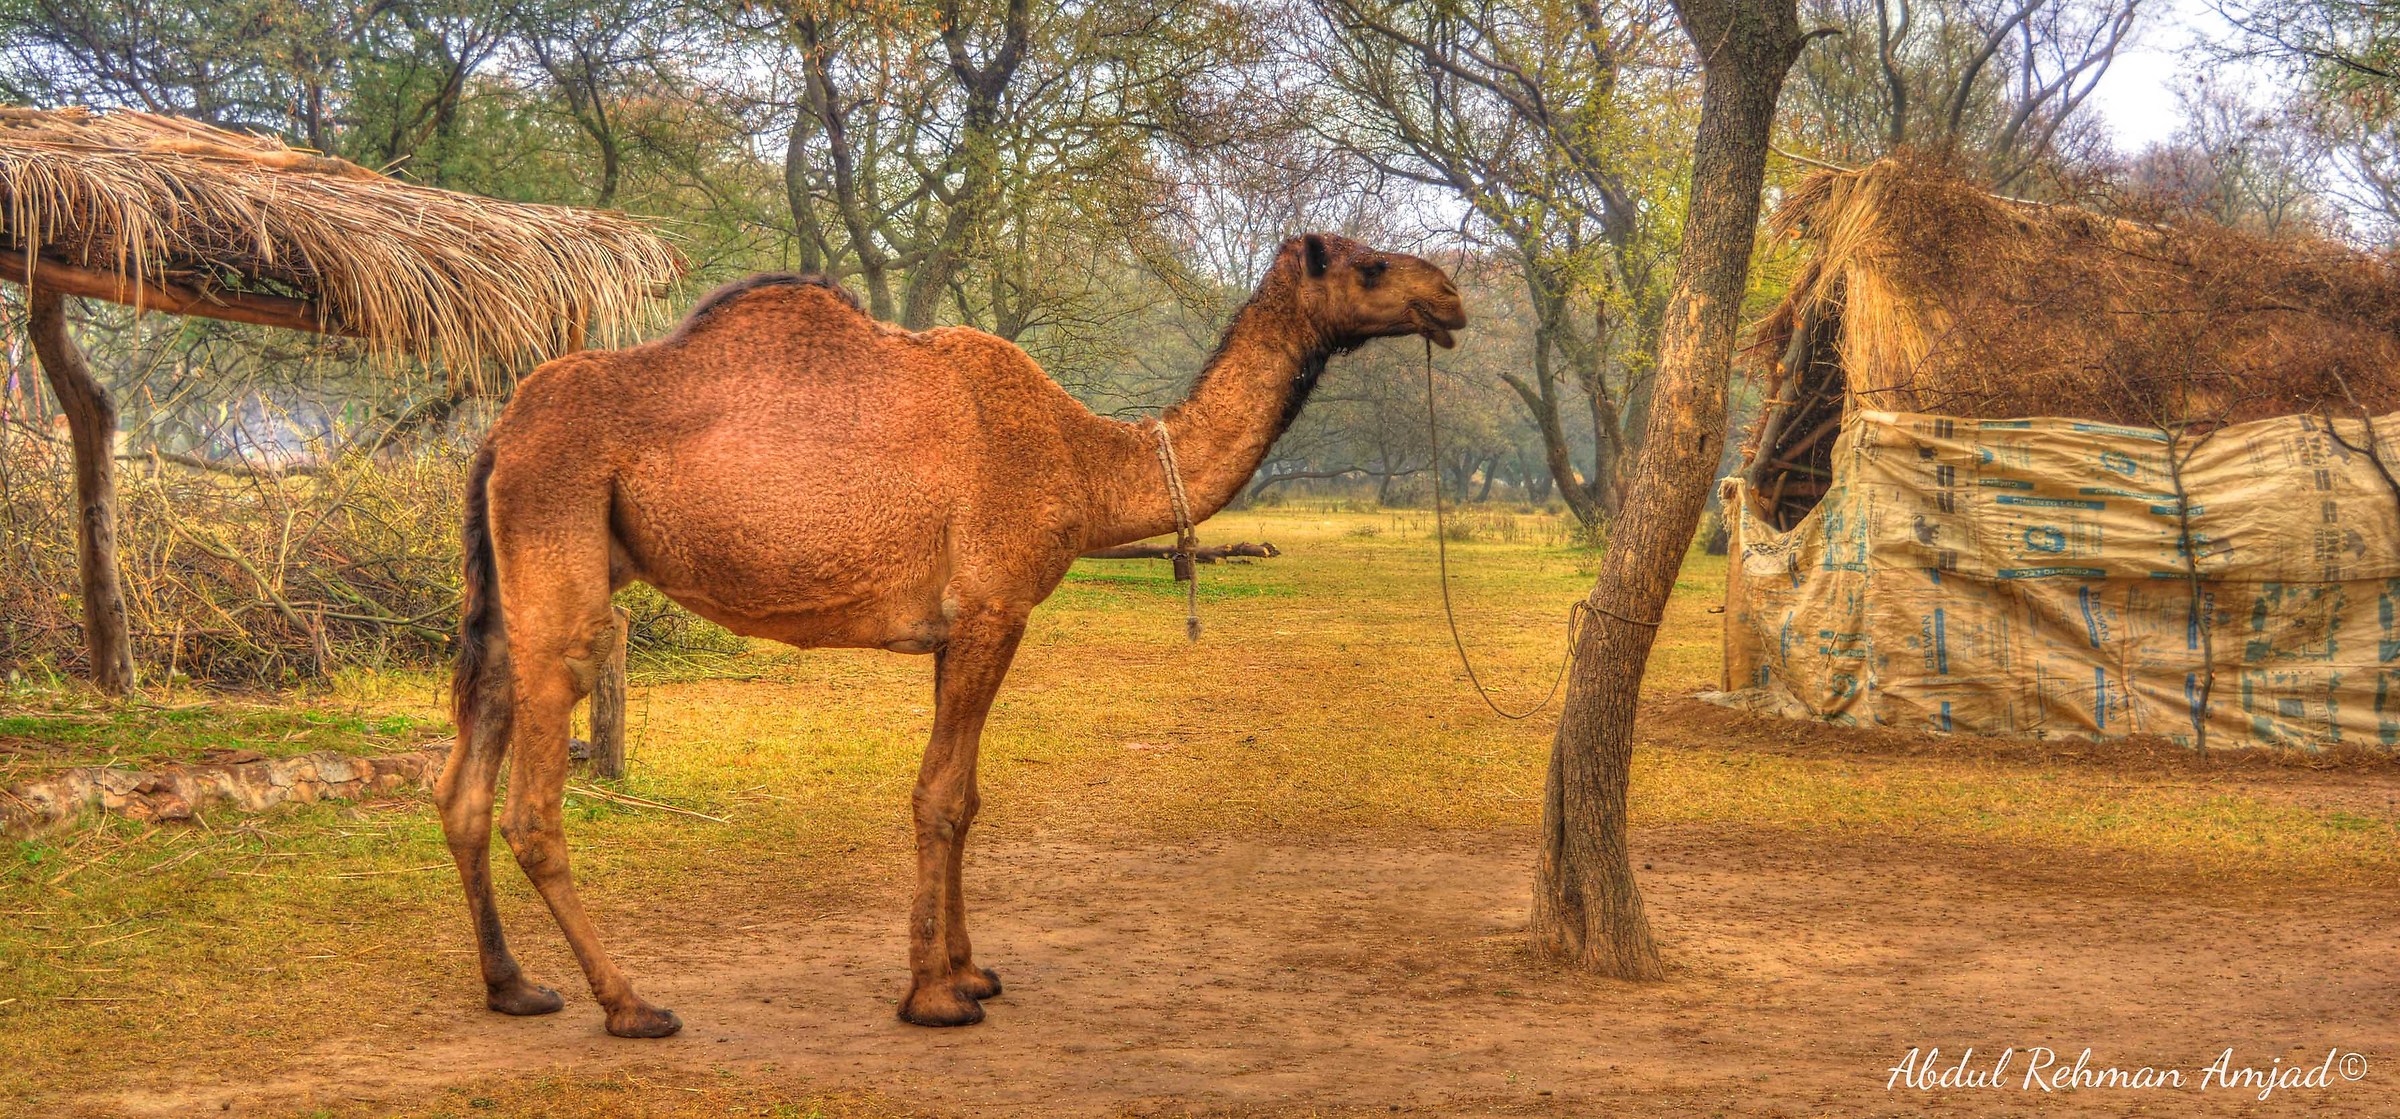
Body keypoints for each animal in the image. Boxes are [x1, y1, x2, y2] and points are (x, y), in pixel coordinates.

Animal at [437, 232, 1467, 1036]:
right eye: (1373, 266)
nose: (1451, 295)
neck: (1085, 457)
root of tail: (500, 431)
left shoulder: (958, 625)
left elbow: (966, 795)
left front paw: (972, 968)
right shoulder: (995, 606)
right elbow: (937, 796)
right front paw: (934, 996)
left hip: (511, 571)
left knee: (464, 781)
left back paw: (515, 987)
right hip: (560, 528)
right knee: (537, 789)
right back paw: (631, 1002)